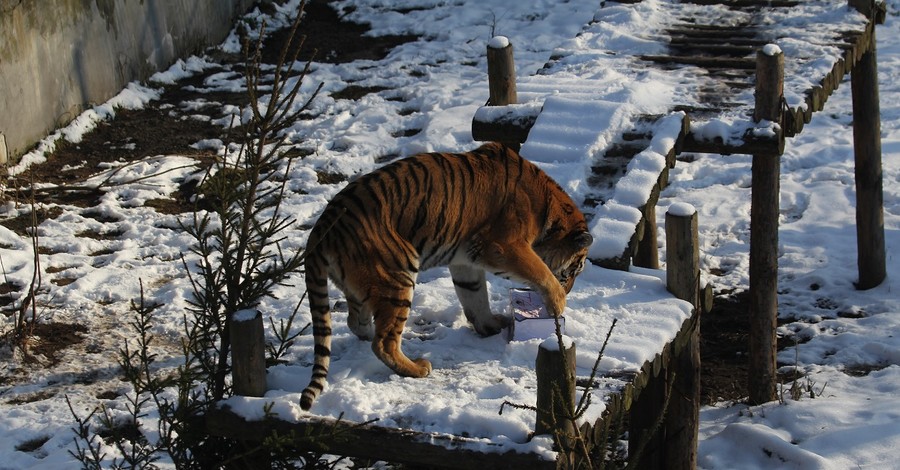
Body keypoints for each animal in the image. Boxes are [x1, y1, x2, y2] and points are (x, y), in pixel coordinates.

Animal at [298, 141, 596, 410]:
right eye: (573, 271)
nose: (570, 289)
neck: (548, 207)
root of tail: (322, 227)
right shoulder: (503, 246)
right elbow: (540, 272)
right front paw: (557, 302)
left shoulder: (466, 260)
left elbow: (475, 296)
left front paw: (489, 326)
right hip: (398, 275)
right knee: (383, 342)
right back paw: (416, 368)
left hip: (363, 284)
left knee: (357, 323)